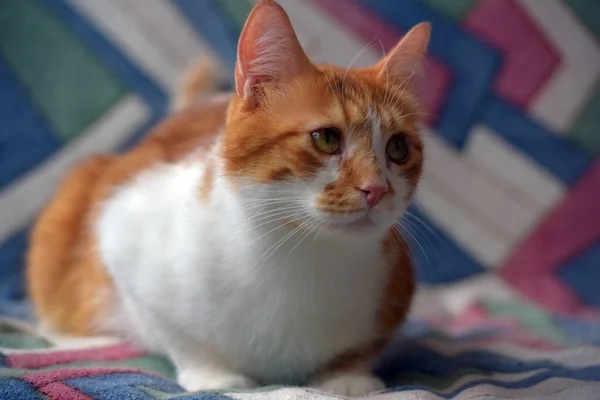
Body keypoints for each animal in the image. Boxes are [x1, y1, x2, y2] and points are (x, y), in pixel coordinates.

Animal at [25, 0, 428, 396]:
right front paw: (213, 374)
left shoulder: (395, 287)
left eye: (397, 147)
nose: (377, 188)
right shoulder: (122, 233)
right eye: (327, 138)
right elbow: (179, 334)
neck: (299, 257)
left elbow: (360, 349)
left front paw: (346, 377)